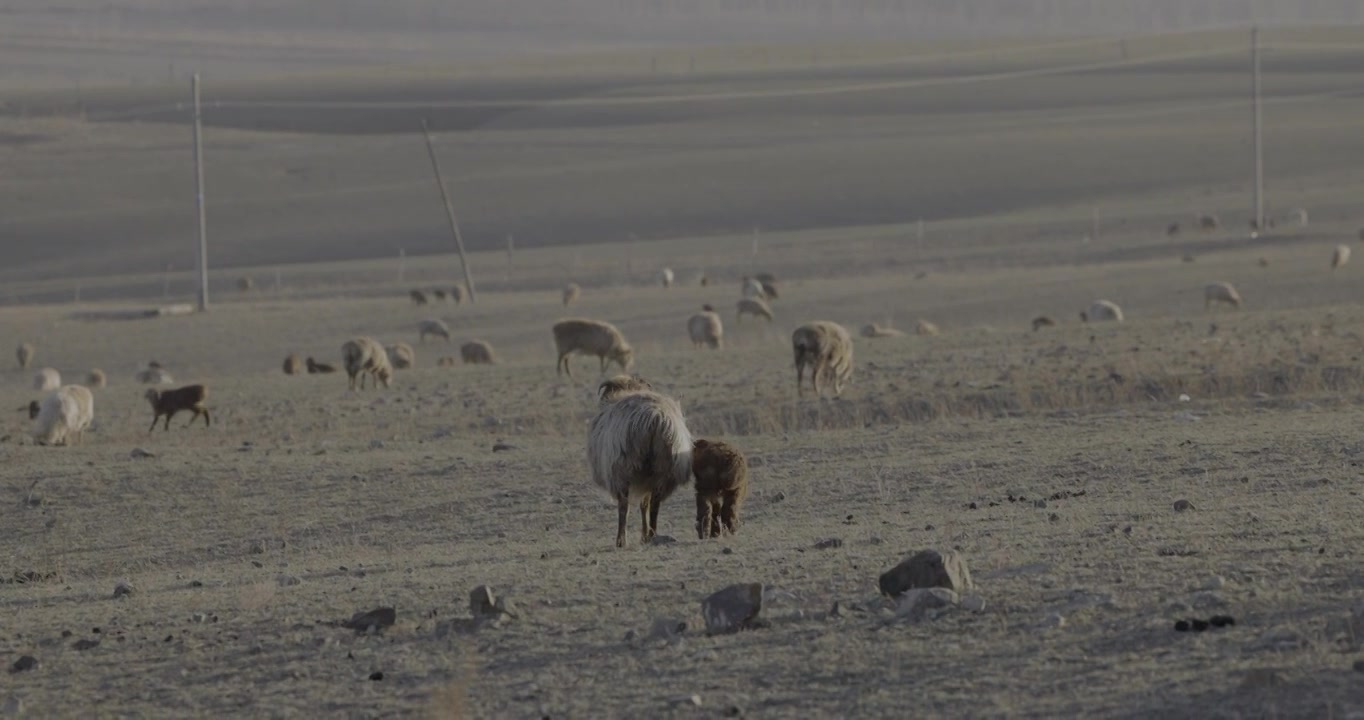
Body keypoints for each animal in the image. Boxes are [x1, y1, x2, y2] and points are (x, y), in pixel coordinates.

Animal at [586, 373, 692, 548]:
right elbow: (644, 505)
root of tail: (655, 417)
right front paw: (644, 536)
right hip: (664, 468)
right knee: (654, 504)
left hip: (621, 469)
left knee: (624, 506)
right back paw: (651, 535)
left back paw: (621, 540)